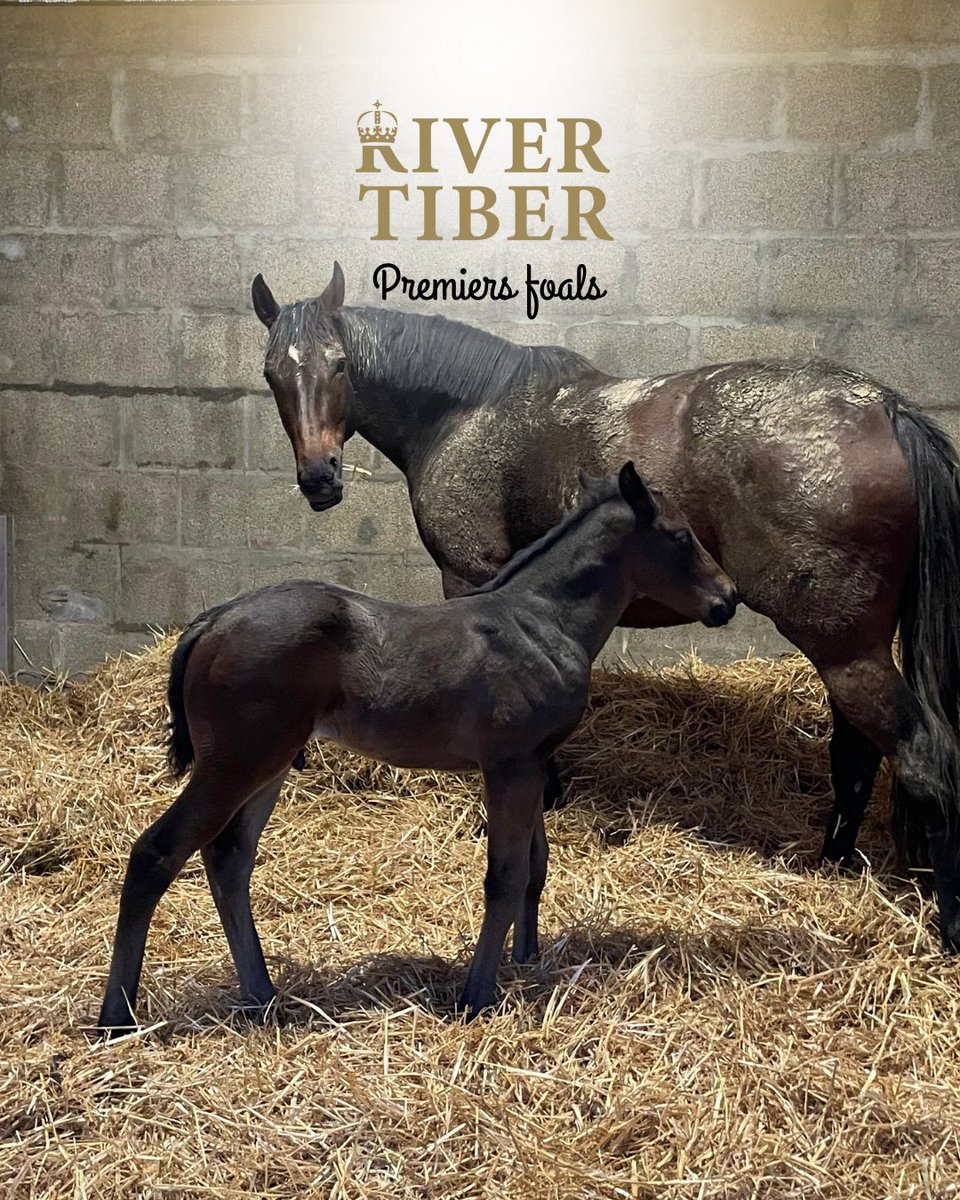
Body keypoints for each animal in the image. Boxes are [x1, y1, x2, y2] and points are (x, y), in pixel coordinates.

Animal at [97, 464, 737, 1034]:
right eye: (680, 536)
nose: (727, 598)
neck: (541, 621)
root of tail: (210, 621)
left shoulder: (531, 765)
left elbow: (535, 865)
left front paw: (526, 961)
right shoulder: (509, 766)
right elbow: (504, 876)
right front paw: (477, 996)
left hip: (268, 766)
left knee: (228, 858)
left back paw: (263, 997)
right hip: (236, 763)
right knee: (156, 853)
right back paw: (116, 1018)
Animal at [250, 262, 960, 953]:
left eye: (340, 364)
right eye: (271, 372)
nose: (320, 478)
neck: (468, 414)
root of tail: (886, 410)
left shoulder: (469, 578)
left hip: (843, 647)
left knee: (922, 759)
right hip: (851, 647)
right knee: (859, 757)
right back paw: (833, 865)